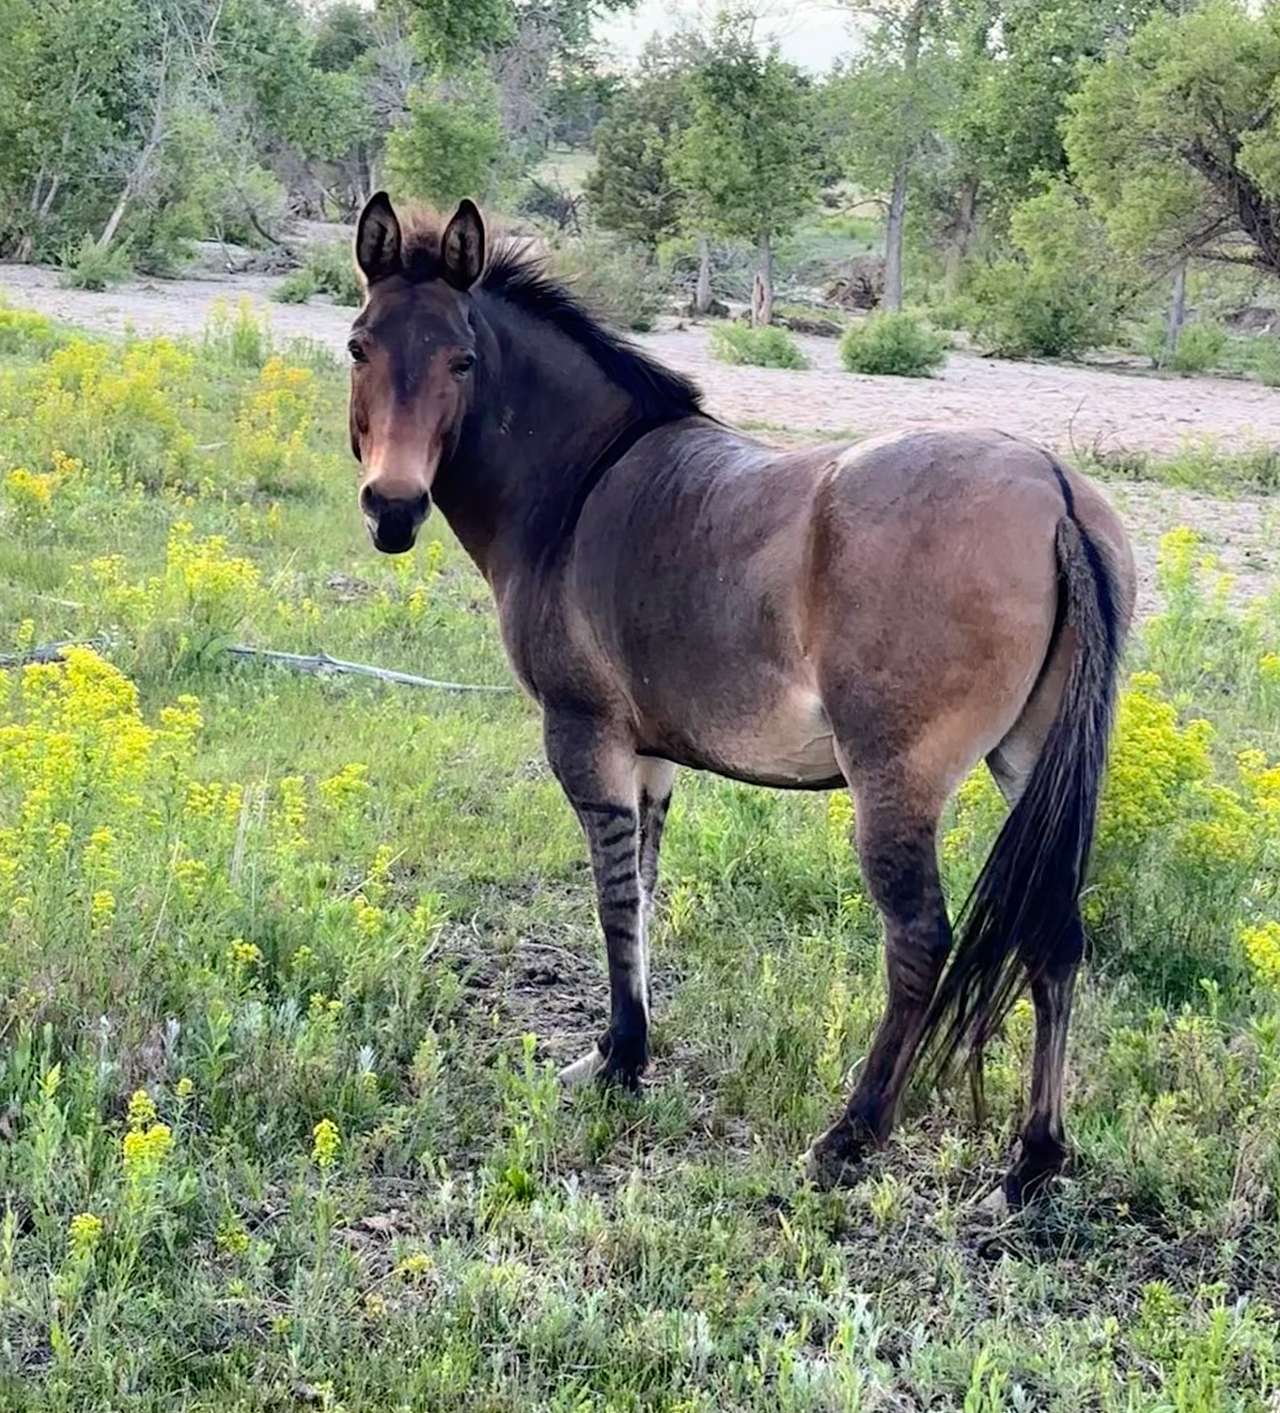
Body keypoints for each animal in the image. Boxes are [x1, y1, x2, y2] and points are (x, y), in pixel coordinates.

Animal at [344, 193, 1136, 1204]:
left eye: (463, 360)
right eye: (360, 346)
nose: (393, 509)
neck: (579, 486)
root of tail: (1054, 487)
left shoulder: (585, 738)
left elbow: (612, 898)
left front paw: (622, 1060)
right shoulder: (650, 757)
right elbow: (641, 892)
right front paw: (622, 1049)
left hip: (896, 787)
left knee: (919, 940)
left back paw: (852, 1134)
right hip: (1033, 768)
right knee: (1055, 938)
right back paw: (1035, 1158)